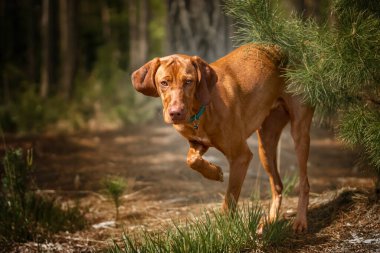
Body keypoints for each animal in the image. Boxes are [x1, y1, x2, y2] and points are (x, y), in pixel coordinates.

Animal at [132, 44, 314, 233]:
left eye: (188, 81)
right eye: (164, 83)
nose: (176, 113)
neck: (201, 110)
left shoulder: (241, 156)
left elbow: (230, 199)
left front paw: (225, 231)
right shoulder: (198, 143)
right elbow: (192, 160)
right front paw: (215, 172)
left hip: (299, 131)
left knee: (304, 182)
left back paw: (300, 221)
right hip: (266, 143)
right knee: (277, 185)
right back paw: (269, 222)